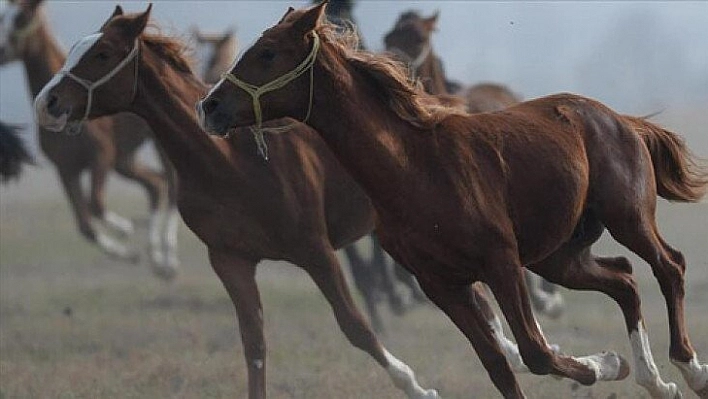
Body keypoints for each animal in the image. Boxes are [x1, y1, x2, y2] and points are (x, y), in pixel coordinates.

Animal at [0, 0, 180, 278]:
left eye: (21, 18)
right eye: (2, 17)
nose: (0, 50)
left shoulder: (100, 158)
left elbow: (95, 203)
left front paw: (124, 229)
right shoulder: (65, 168)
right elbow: (85, 224)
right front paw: (127, 251)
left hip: (157, 147)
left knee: (170, 186)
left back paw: (167, 258)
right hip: (124, 160)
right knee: (155, 185)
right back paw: (155, 257)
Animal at [30, 5, 524, 396]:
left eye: (102, 54)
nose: (46, 102)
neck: (231, 163)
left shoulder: (315, 250)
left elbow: (356, 326)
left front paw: (418, 388)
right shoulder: (229, 259)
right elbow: (254, 344)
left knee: (476, 291)